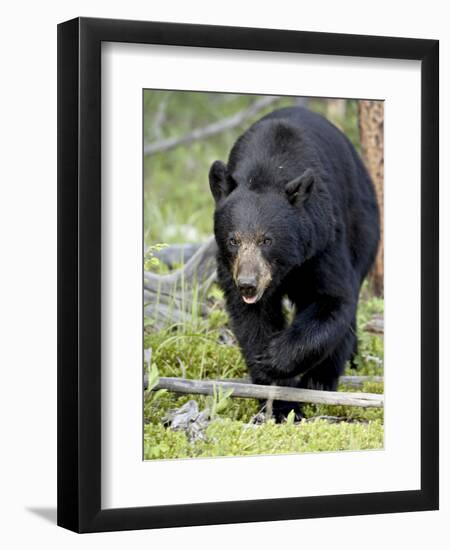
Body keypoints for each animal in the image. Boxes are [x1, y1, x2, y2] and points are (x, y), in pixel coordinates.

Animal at [209, 108, 378, 422]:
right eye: (233, 239)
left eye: (267, 239)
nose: (248, 284)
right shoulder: (230, 267)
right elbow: (252, 319)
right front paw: (277, 400)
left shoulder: (322, 241)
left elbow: (333, 299)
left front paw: (275, 357)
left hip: (363, 226)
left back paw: (322, 380)